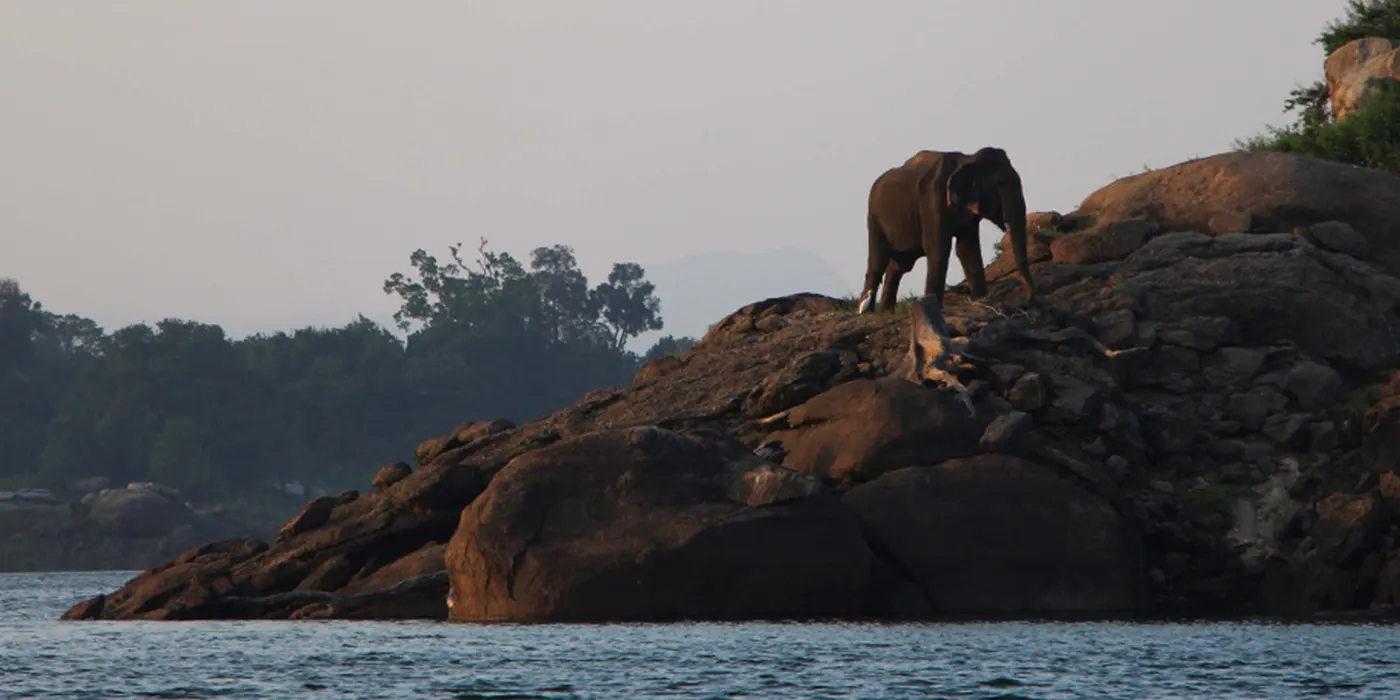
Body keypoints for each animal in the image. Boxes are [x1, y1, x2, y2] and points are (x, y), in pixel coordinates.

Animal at [851, 147, 1041, 315]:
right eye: (1000, 184)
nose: (1027, 300)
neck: (968, 159)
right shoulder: (932, 199)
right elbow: (938, 248)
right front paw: (933, 304)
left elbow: (966, 249)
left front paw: (980, 298)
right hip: (874, 218)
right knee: (878, 261)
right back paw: (867, 312)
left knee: (900, 265)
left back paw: (886, 310)